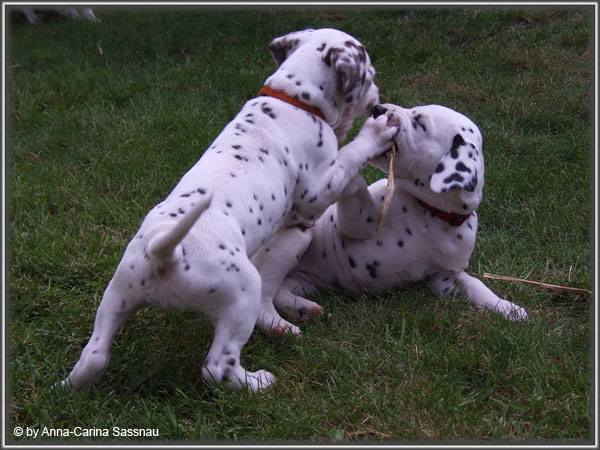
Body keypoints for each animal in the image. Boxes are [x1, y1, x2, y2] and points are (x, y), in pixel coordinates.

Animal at [60, 28, 397, 393]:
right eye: (370, 76)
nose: (378, 100)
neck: (294, 98)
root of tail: (167, 256)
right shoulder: (314, 191)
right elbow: (348, 160)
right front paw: (375, 134)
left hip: (118, 293)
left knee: (93, 357)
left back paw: (64, 387)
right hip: (241, 296)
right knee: (217, 367)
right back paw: (257, 382)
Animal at [254, 103, 528, 335]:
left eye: (420, 122)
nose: (377, 108)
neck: (427, 213)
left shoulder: (444, 279)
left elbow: (475, 284)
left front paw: (506, 307)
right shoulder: (354, 224)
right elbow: (354, 183)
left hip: (302, 282)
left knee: (278, 292)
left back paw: (302, 309)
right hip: (297, 237)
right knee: (263, 295)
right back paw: (279, 324)